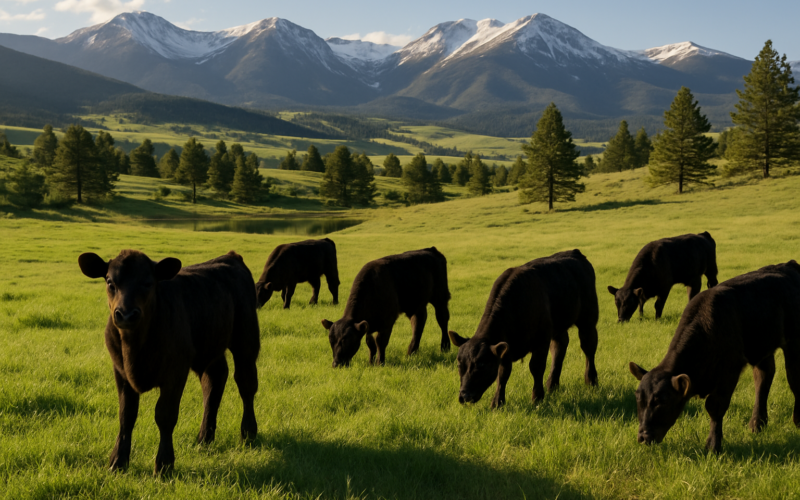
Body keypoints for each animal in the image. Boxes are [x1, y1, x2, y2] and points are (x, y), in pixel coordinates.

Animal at [78, 250, 260, 475]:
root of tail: (230, 256)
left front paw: (164, 465)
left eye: (148, 283)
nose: (126, 315)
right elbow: (126, 415)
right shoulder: (120, 372)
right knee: (214, 380)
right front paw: (117, 462)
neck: (135, 349)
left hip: (246, 339)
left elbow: (165, 415)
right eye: (110, 282)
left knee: (246, 383)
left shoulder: (175, 372)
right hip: (210, 346)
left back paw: (248, 432)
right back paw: (204, 438)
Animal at [321, 247, 450, 367]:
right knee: (418, 323)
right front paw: (370, 362)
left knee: (442, 320)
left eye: (346, 340)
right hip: (417, 304)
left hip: (441, 297)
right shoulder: (368, 324)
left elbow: (380, 341)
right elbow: (370, 343)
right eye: (331, 340)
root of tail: (431, 250)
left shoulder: (387, 321)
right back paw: (411, 352)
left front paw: (380, 362)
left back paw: (445, 347)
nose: (336, 364)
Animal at [449, 250, 599, 408]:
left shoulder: (541, 340)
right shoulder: (506, 347)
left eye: (482, 364)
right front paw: (497, 402)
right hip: (559, 325)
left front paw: (537, 398)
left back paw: (591, 381)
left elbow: (536, 367)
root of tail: (575, 252)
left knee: (589, 348)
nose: (464, 396)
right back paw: (552, 385)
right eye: (459, 364)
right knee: (560, 346)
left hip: (588, 320)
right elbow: (503, 373)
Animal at [629, 260, 800, 453]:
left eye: (662, 401)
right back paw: (757, 424)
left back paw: (797, 420)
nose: (643, 437)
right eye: (638, 398)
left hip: (794, 341)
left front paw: (713, 445)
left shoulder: (730, 370)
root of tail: (788, 265)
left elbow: (715, 406)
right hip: (762, 346)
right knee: (764, 377)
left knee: (793, 377)